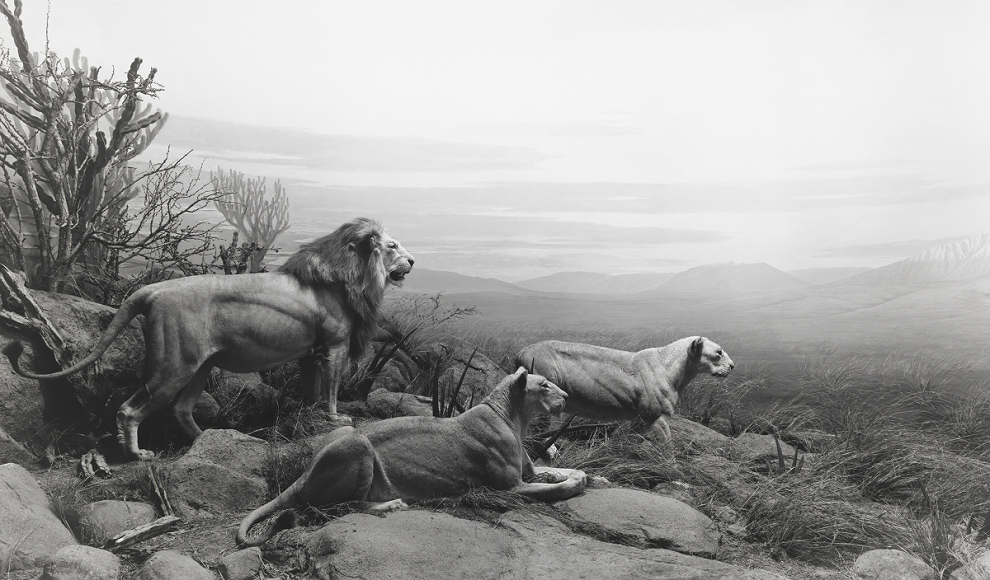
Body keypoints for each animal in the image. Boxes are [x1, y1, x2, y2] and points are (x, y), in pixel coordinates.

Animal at [3, 217, 413, 460]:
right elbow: (331, 390)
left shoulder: (311, 353)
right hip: (174, 366)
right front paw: (336, 418)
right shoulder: (334, 348)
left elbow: (312, 392)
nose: (412, 262)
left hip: (199, 367)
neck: (353, 276)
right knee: (129, 410)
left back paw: (211, 440)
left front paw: (311, 419)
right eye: (392, 246)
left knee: (181, 410)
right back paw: (138, 455)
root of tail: (152, 290)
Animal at [236, 367, 588, 546]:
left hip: (345, 431)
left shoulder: (529, 472)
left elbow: (560, 471)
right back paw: (391, 504)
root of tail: (304, 474)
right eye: (545, 385)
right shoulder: (508, 487)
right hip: (357, 444)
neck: (515, 419)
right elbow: (555, 487)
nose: (567, 396)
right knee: (335, 506)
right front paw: (577, 482)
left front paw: (589, 474)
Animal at [514, 336, 734, 439]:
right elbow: (667, 443)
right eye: (719, 352)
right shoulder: (654, 416)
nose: (732, 366)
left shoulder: (639, 418)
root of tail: (521, 352)